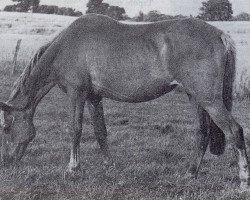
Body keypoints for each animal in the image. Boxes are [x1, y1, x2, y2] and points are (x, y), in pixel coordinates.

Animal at [0, 14, 249, 189]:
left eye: (6, 128)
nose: (7, 163)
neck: (66, 47)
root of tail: (220, 35)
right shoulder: (94, 97)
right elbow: (100, 131)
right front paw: (109, 165)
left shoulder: (76, 94)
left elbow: (75, 129)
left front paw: (73, 168)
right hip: (195, 97)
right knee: (202, 133)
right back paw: (190, 173)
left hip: (209, 99)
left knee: (234, 131)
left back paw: (243, 181)